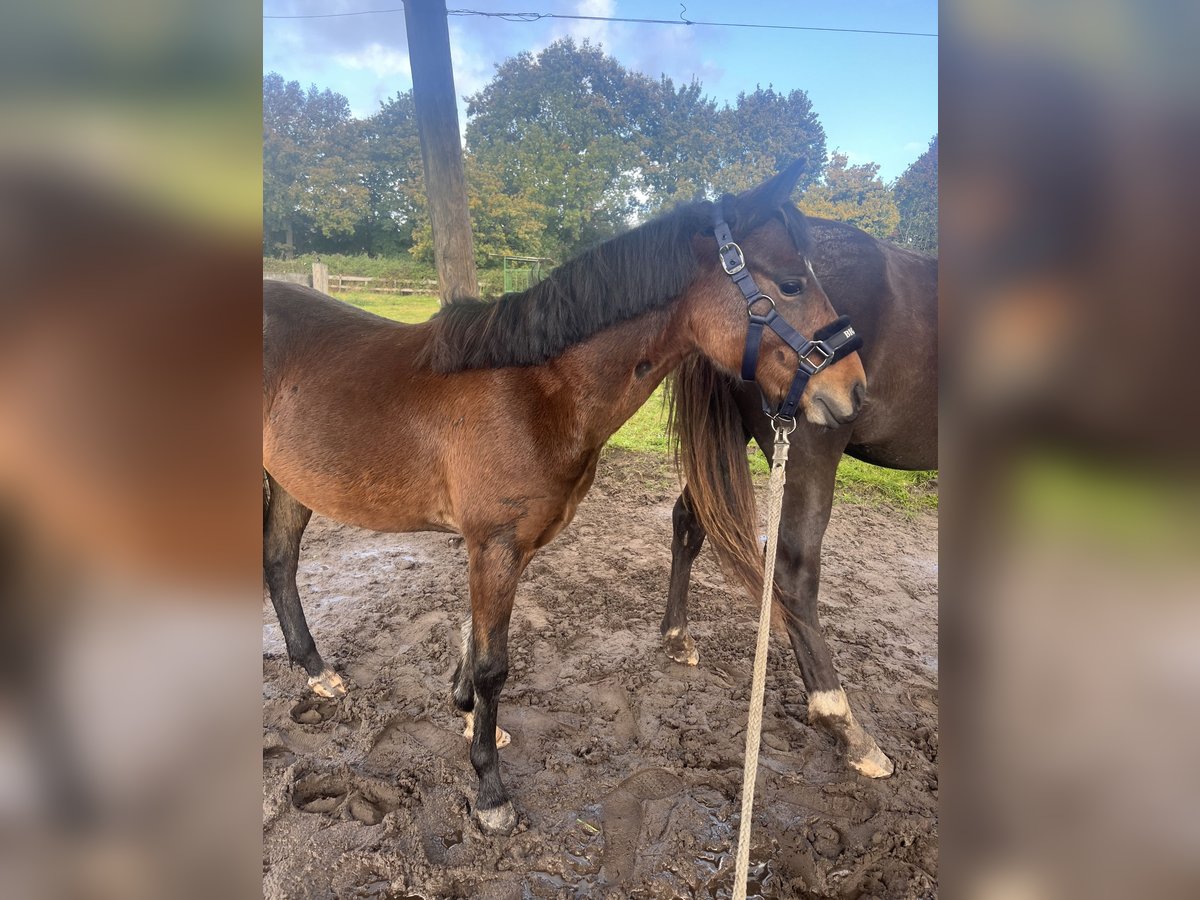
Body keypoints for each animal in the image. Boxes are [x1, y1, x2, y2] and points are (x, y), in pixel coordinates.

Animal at [262, 164, 868, 840]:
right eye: (791, 282)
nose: (853, 392)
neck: (537, 391)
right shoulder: (494, 545)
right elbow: (493, 663)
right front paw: (490, 792)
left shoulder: (503, 547)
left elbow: (474, 642)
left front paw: (468, 716)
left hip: (291, 485)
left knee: (280, 565)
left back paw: (317, 672)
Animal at [662, 217, 931, 777]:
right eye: (792, 285)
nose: (855, 387)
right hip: (808, 442)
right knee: (793, 570)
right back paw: (846, 727)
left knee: (689, 521)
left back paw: (676, 637)